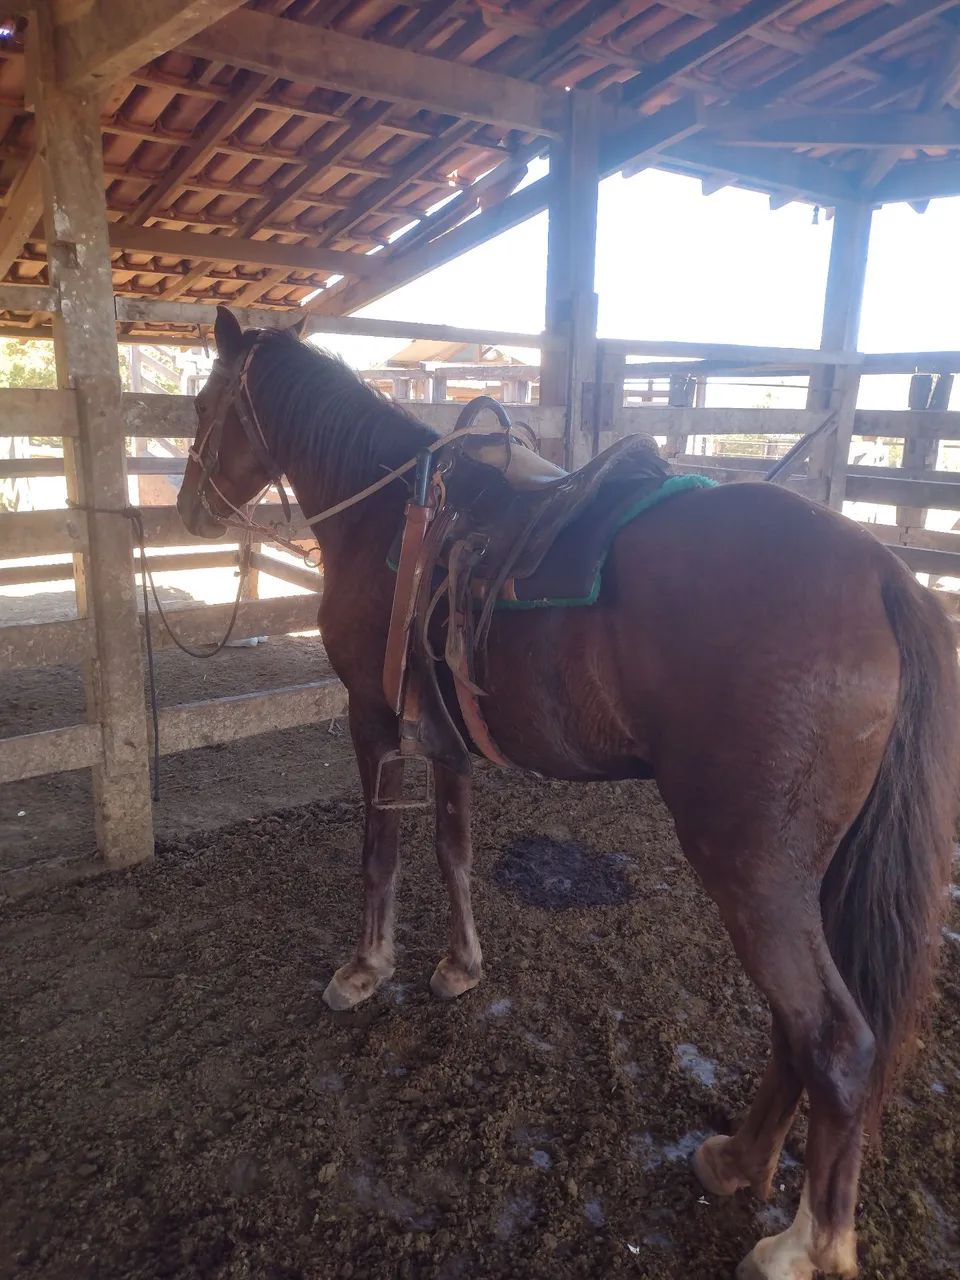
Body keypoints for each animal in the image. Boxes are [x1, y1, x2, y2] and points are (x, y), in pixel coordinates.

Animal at [177, 307, 958, 1280]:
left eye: (204, 402)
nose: (190, 506)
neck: (392, 519)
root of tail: (882, 574)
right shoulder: (446, 736)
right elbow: (454, 848)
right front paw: (461, 966)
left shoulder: (373, 716)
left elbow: (379, 854)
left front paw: (365, 968)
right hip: (812, 876)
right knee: (796, 1031)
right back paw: (737, 1162)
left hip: (757, 874)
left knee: (834, 1042)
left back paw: (801, 1243)